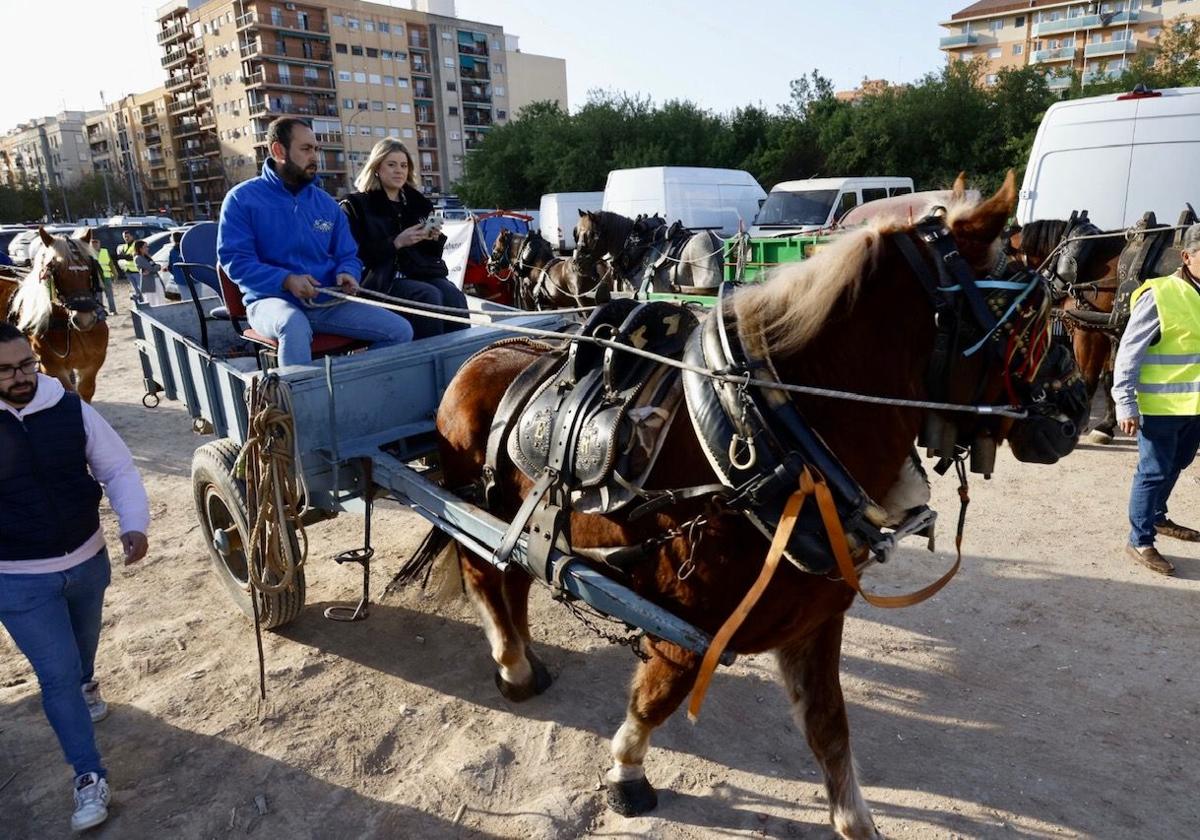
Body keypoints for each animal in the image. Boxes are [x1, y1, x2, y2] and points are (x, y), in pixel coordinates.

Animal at [0, 228, 109, 400]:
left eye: (89, 267)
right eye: (56, 270)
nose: (84, 319)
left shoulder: (93, 362)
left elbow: (85, 390)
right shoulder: (51, 367)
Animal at [487, 228, 619, 309]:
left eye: (494, 247)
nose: (488, 266)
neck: (531, 265)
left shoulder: (529, 302)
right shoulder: (550, 304)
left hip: (584, 302)